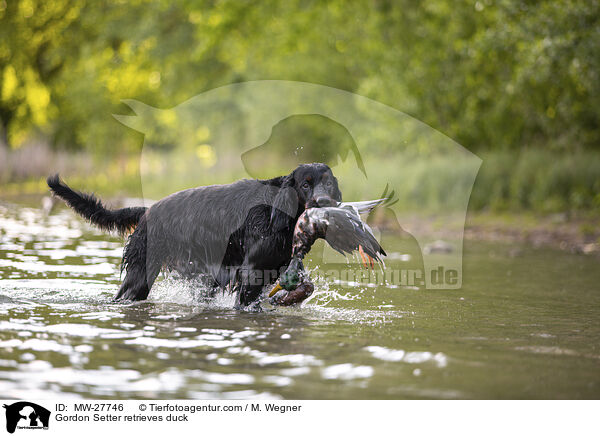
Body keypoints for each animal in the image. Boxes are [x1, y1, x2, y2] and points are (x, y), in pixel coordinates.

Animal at [47, 164, 342, 306]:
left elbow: (305, 286)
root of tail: (147, 211)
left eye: (328, 183)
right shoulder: (250, 270)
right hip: (140, 276)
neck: (277, 211)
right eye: (305, 184)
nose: (324, 202)